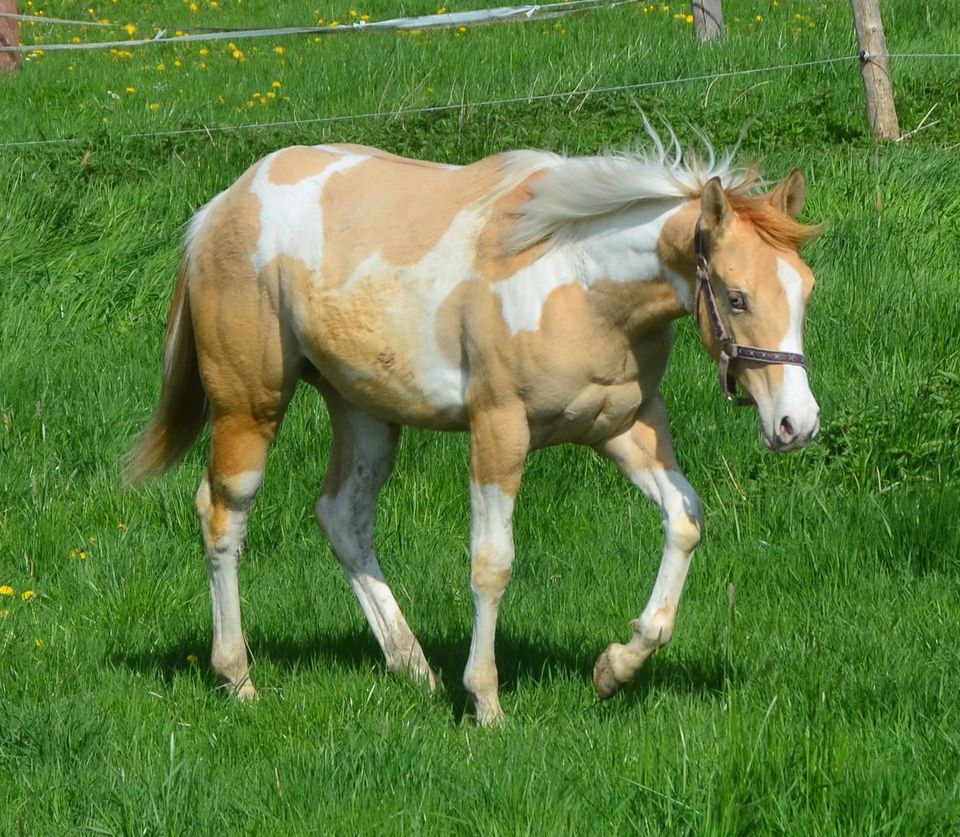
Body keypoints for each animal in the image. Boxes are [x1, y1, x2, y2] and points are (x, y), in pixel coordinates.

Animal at [124, 132, 820, 724]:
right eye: (736, 297)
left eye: (806, 289)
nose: (798, 423)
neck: (578, 279)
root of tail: (221, 206)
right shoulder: (499, 430)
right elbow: (493, 563)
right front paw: (486, 703)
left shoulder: (625, 425)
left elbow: (685, 518)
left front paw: (614, 669)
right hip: (251, 406)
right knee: (223, 516)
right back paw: (239, 679)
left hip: (364, 412)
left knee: (343, 516)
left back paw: (413, 668)